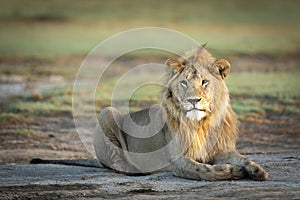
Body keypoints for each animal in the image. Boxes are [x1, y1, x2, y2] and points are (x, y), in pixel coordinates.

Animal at [93, 47, 268, 181]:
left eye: (204, 82)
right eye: (184, 82)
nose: (193, 100)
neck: (201, 124)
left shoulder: (221, 150)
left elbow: (242, 158)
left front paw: (257, 170)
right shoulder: (178, 159)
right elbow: (203, 170)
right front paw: (231, 171)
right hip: (106, 112)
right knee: (116, 161)